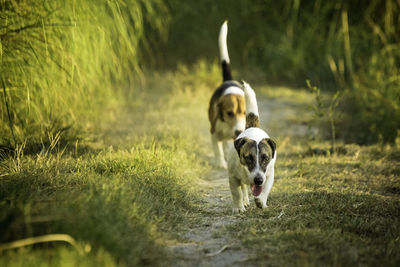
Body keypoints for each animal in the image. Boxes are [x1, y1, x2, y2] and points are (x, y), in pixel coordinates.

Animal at [209, 21, 247, 169]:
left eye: (245, 113)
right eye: (229, 113)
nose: (239, 131)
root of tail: (228, 80)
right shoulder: (214, 132)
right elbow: (217, 149)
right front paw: (220, 163)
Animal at [227, 82, 276, 215]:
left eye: (266, 158)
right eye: (248, 157)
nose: (258, 180)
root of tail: (252, 127)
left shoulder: (269, 176)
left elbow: (265, 189)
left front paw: (261, 201)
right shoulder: (233, 177)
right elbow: (236, 193)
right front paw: (238, 207)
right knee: (243, 189)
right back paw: (244, 201)